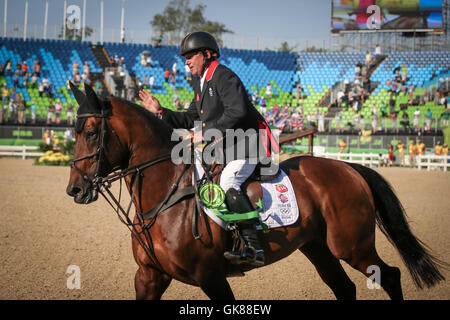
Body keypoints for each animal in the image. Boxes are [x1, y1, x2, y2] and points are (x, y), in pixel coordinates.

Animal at [65, 83, 444, 300]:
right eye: (74, 131)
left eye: (91, 132)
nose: (75, 189)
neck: (164, 198)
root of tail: (348, 167)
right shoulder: (149, 276)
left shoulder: (211, 277)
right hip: (318, 247)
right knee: (344, 288)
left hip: (352, 246)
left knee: (390, 276)